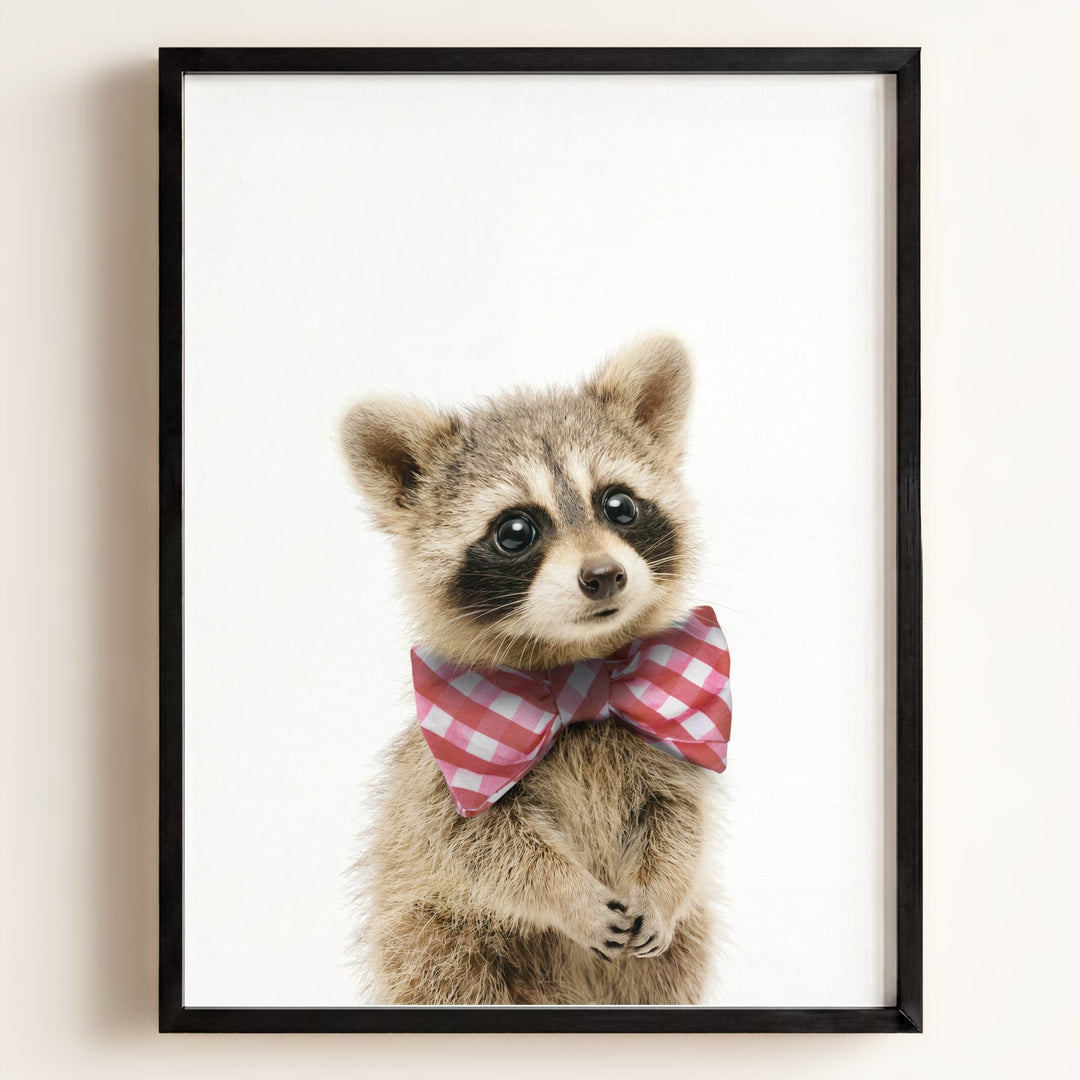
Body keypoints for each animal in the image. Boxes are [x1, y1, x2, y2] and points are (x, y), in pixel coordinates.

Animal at [339, 334, 721, 1005]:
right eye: (516, 530)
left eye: (619, 504)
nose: (604, 576)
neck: (576, 672)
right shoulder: (444, 772)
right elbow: (484, 848)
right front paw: (569, 895)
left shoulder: (667, 741)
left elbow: (680, 819)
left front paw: (662, 886)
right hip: (433, 936)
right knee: (446, 975)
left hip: (679, 954)